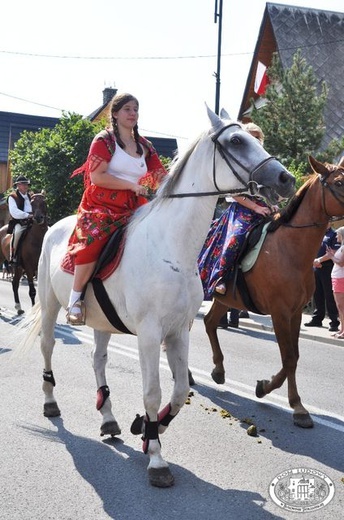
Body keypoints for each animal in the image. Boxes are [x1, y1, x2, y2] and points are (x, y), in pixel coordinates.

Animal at [18, 107, 296, 490]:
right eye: (237, 140)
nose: (286, 179)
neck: (172, 248)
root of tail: (55, 226)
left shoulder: (179, 331)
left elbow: (179, 392)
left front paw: (149, 430)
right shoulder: (149, 335)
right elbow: (153, 392)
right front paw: (156, 459)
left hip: (101, 320)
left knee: (98, 360)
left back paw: (108, 418)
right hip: (49, 304)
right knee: (48, 347)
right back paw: (50, 402)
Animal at [203, 156, 344, 428]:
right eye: (340, 182)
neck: (289, 249)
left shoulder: (295, 313)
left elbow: (294, 357)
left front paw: (269, 390)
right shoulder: (279, 313)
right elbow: (288, 357)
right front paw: (295, 405)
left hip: (224, 298)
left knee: (209, 322)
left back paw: (218, 371)